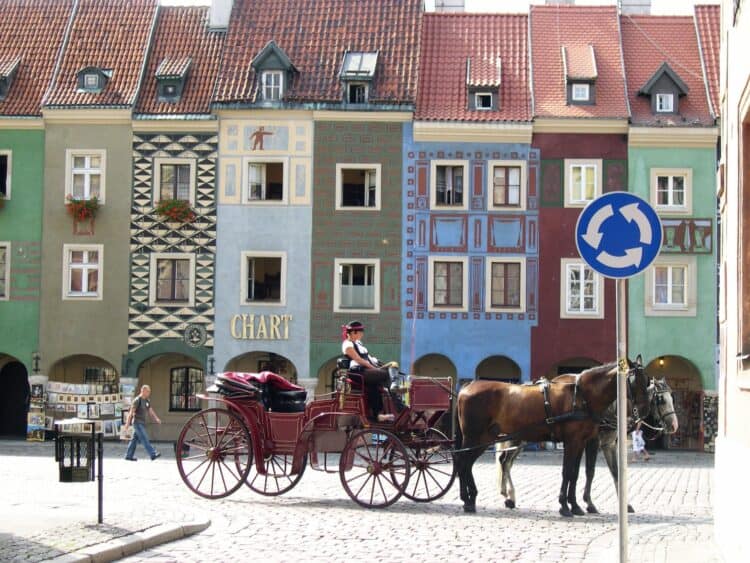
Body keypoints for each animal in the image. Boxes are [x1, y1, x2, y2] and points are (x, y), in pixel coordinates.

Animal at [456, 360, 656, 516]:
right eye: (634, 380)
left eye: (646, 381)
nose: (645, 410)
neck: (582, 396)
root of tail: (467, 387)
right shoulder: (576, 441)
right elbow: (571, 472)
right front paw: (566, 506)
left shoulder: (583, 442)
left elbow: (576, 473)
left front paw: (575, 505)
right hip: (477, 437)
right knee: (465, 461)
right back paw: (470, 498)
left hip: (489, 438)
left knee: (472, 463)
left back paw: (473, 498)